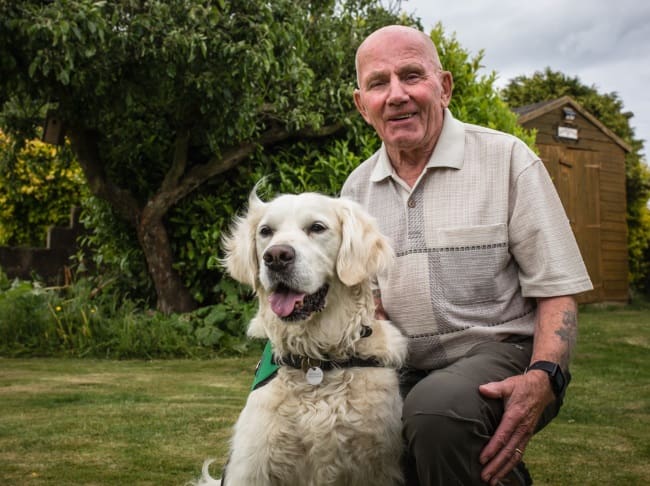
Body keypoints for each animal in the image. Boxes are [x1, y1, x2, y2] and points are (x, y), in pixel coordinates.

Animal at [196, 190, 404, 486]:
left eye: (317, 227)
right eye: (266, 231)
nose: (276, 256)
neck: (316, 361)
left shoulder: (377, 466)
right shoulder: (252, 465)